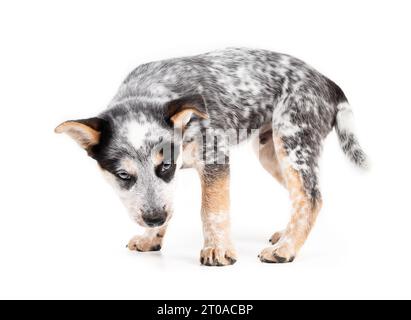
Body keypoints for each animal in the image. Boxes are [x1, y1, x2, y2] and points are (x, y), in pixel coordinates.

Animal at [56, 47, 368, 266]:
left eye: (165, 166)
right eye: (123, 175)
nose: (153, 220)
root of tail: (328, 82)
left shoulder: (214, 158)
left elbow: (212, 209)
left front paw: (217, 249)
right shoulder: (168, 186)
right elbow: (166, 203)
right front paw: (151, 238)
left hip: (293, 141)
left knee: (310, 197)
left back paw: (286, 248)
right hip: (271, 153)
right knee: (305, 196)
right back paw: (286, 235)